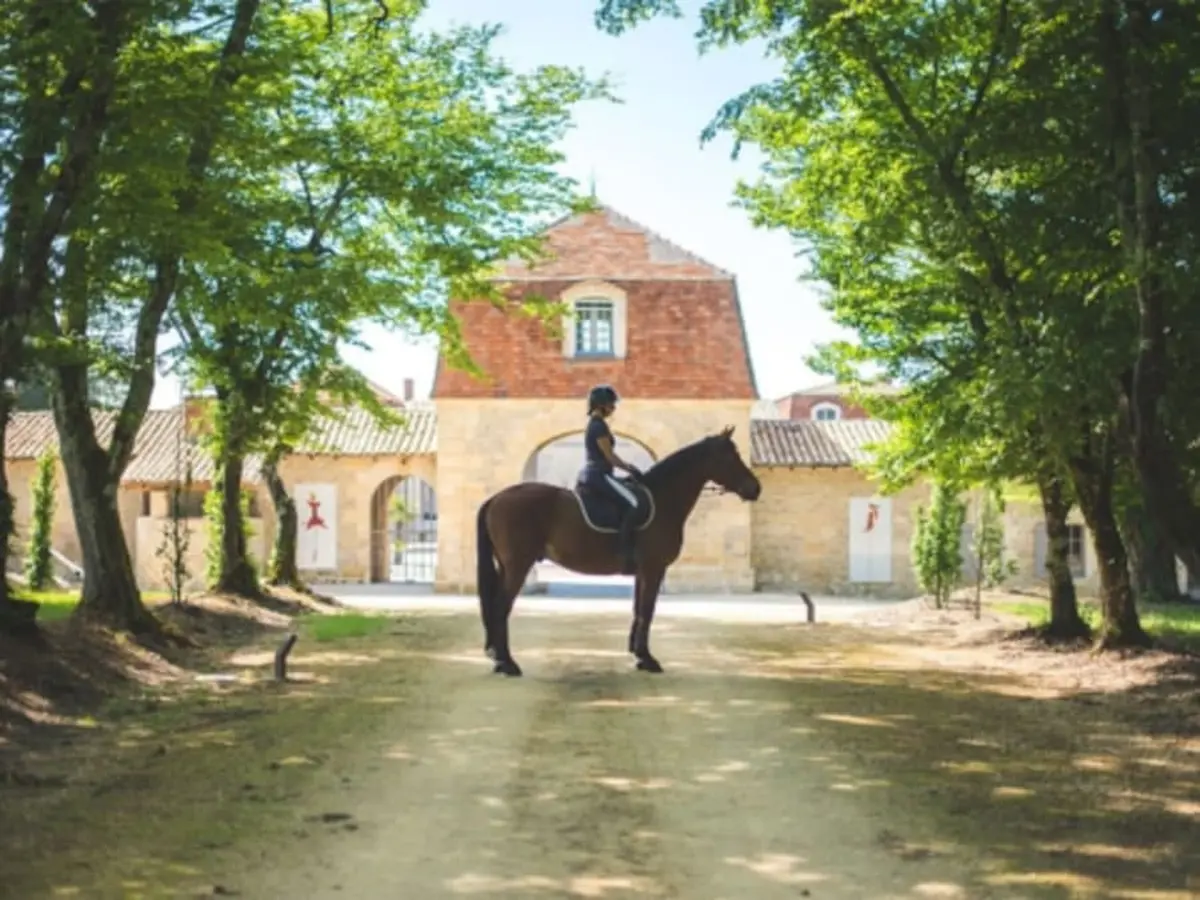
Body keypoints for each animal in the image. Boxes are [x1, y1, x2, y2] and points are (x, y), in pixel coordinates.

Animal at [475, 425, 762, 676]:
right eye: (731, 456)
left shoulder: (643, 572)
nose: (755, 488)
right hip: (518, 565)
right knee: (501, 607)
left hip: (507, 565)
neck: (663, 499)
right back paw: (507, 664)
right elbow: (647, 610)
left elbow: (638, 610)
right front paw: (648, 659)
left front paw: (638, 654)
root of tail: (496, 499)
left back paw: (498, 658)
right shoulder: (654, 568)